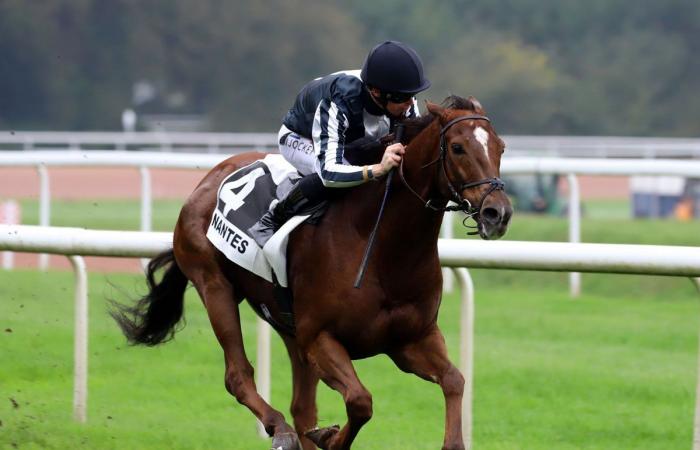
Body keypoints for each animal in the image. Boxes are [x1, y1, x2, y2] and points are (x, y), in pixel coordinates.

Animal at [110, 96, 516, 450]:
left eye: (500, 147)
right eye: (459, 147)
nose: (498, 212)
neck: (382, 247)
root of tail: (207, 179)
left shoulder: (411, 340)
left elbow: (454, 380)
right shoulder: (321, 337)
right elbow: (360, 401)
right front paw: (329, 437)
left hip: (289, 326)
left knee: (301, 405)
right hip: (215, 286)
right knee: (239, 377)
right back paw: (280, 430)